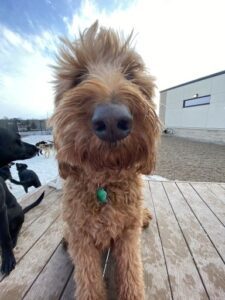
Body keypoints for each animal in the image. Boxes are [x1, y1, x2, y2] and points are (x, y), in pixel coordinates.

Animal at [0, 127, 44, 276]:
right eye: (18, 140)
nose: (36, 148)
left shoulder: (1, 209)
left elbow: (5, 239)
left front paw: (8, 260)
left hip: (12, 211)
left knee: (15, 229)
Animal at [51, 21, 160, 300]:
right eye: (78, 77)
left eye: (130, 75)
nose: (112, 120)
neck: (105, 186)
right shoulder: (81, 238)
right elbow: (88, 280)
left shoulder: (128, 235)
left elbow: (131, 273)